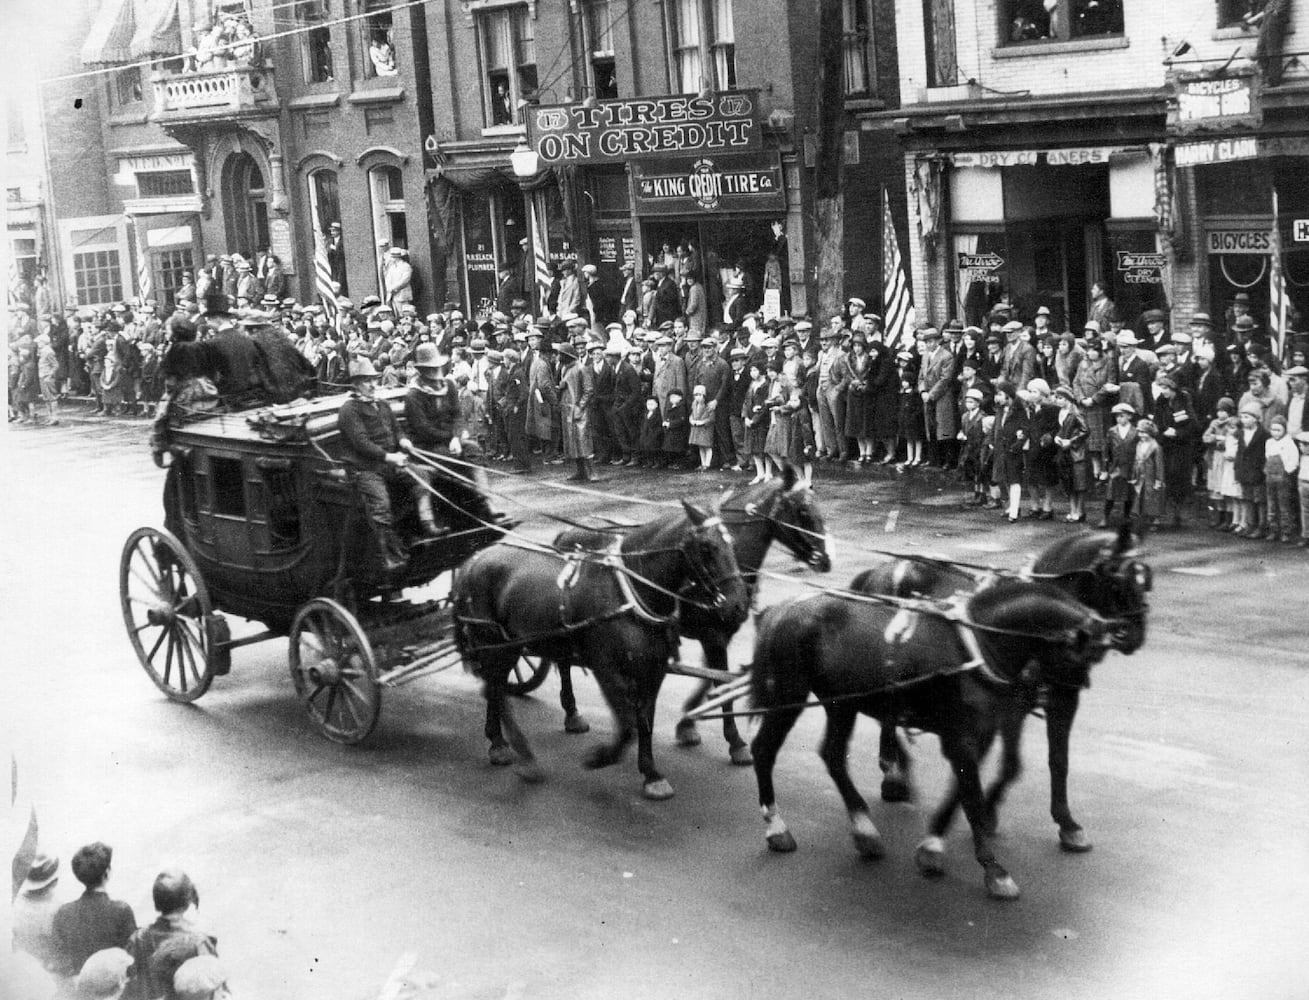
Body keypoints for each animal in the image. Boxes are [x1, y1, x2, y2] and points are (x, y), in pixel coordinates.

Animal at [455, 502, 753, 801]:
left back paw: (500, 741)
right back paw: (520, 755)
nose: (739, 605)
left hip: (511, 646)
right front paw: (600, 757)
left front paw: (651, 774)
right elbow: (627, 726)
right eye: (707, 548)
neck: (628, 594)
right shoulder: (606, 669)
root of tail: (473, 561)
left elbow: (645, 722)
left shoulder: (652, 670)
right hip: (495, 645)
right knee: (495, 690)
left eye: (731, 543)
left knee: (495, 688)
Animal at [748, 573, 1115, 900]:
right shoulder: (962, 737)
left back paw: (864, 828)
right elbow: (972, 799)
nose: (1063, 699)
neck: (978, 647)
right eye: (1080, 654)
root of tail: (781, 609)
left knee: (833, 755)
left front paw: (934, 844)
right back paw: (777, 827)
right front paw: (995, 870)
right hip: (788, 696)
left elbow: (961, 791)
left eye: (1095, 657)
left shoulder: (979, 734)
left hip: (842, 704)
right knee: (764, 749)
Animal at [853, 526, 1151, 848]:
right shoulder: (1011, 707)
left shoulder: (1064, 699)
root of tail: (883, 569)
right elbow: (1011, 765)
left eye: (1146, 579)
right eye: (1116, 579)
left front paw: (1067, 823)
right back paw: (894, 775)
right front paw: (987, 812)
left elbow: (1058, 761)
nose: (1133, 636)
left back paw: (894, 770)